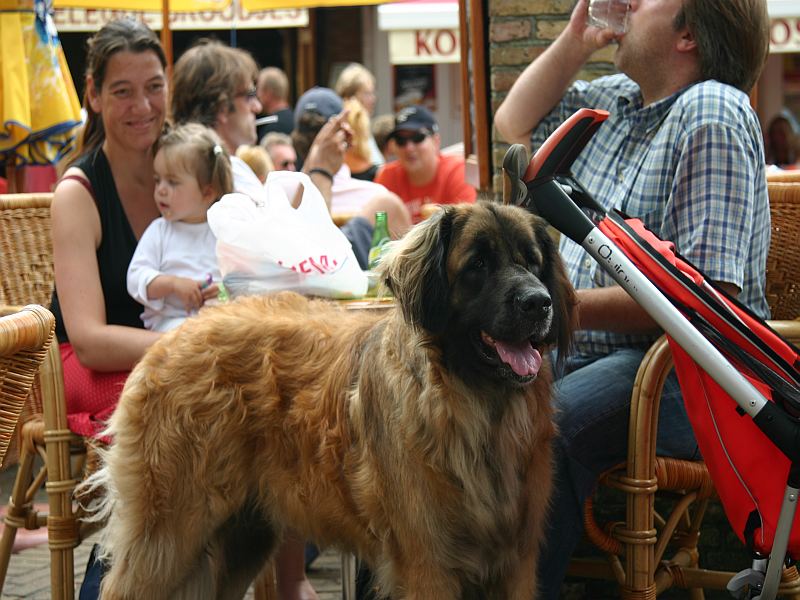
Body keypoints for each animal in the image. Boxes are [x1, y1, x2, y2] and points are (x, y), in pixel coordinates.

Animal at [87, 203, 576, 600]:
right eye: (477, 265)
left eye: (533, 262)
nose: (539, 303)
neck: (477, 408)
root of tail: (170, 338)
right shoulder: (429, 565)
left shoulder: (516, 563)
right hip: (169, 535)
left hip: (244, 534)